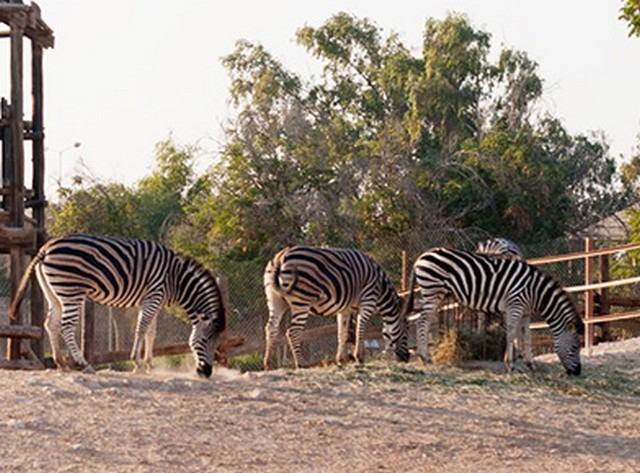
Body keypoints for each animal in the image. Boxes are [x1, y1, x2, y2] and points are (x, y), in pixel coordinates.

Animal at [9, 232, 228, 376]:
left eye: (218, 342)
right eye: (206, 340)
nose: (206, 373)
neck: (175, 278)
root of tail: (45, 248)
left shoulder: (154, 301)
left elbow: (151, 332)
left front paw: (150, 365)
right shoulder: (153, 296)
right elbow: (141, 329)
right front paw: (137, 363)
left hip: (54, 293)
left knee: (51, 324)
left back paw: (61, 363)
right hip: (72, 292)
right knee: (67, 327)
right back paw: (84, 364)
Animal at [262, 245, 408, 370]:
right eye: (406, 332)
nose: (407, 358)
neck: (381, 289)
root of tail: (280, 258)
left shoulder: (346, 309)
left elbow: (342, 333)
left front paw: (340, 360)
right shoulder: (368, 300)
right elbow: (360, 329)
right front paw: (359, 357)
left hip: (275, 300)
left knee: (271, 328)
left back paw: (268, 364)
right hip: (302, 300)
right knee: (292, 332)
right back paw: (301, 364)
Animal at [404, 247, 584, 376]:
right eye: (575, 347)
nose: (577, 372)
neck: (536, 292)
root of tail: (420, 257)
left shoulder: (525, 312)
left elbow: (527, 337)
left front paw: (530, 364)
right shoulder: (515, 306)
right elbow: (511, 335)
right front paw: (511, 365)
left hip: (437, 294)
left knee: (425, 321)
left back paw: (425, 356)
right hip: (433, 290)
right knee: (422, 321)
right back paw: (425, 358)